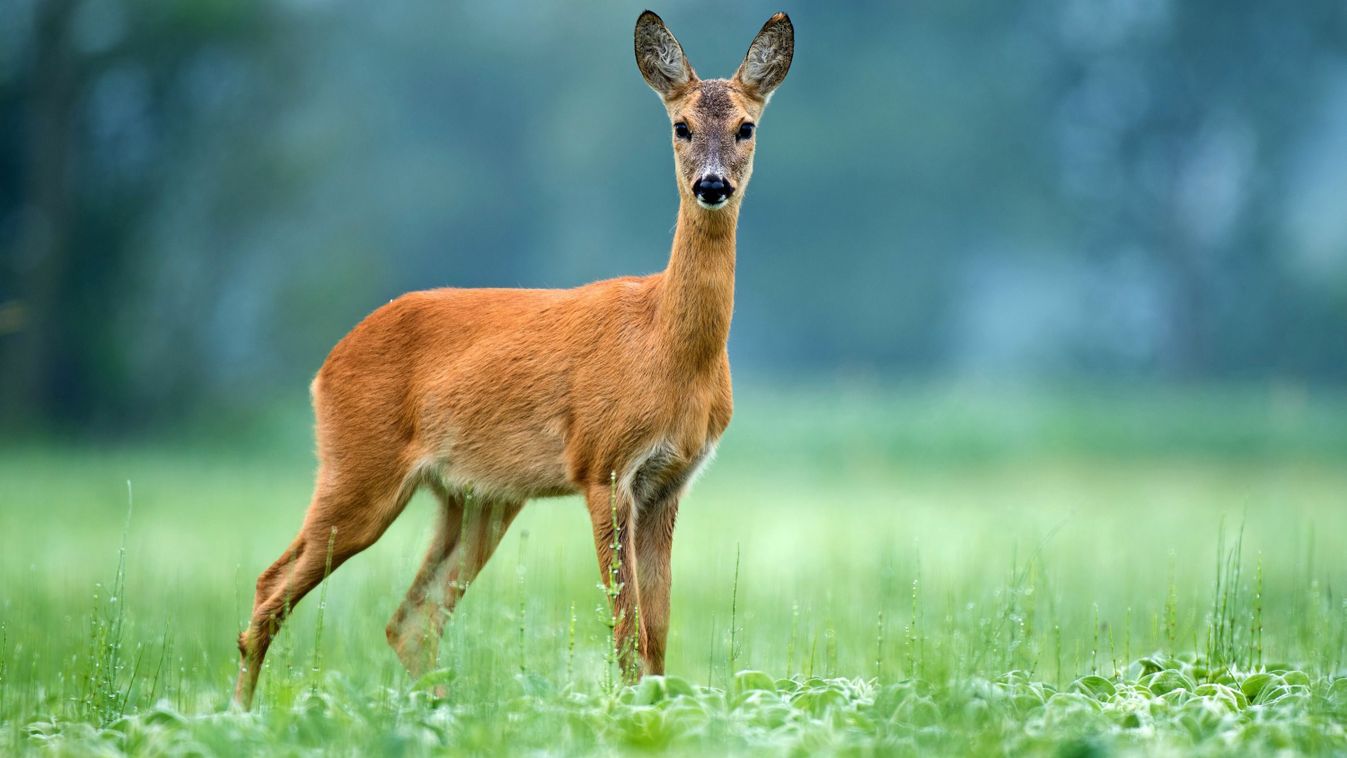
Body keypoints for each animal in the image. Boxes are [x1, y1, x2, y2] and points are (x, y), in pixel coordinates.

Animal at [235, 10, 792, 710]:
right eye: (680, 126)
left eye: (747, 126)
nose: (711, 185)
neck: (667, 347)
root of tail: (325, 366)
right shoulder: (603, 464)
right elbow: (627, 629)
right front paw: (626, 713)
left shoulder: (669, 481)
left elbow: (658, 633)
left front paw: (658, 711)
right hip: (358, 467)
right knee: (270, 588)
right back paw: (238, 716)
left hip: (476, 498)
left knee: (410, 619)